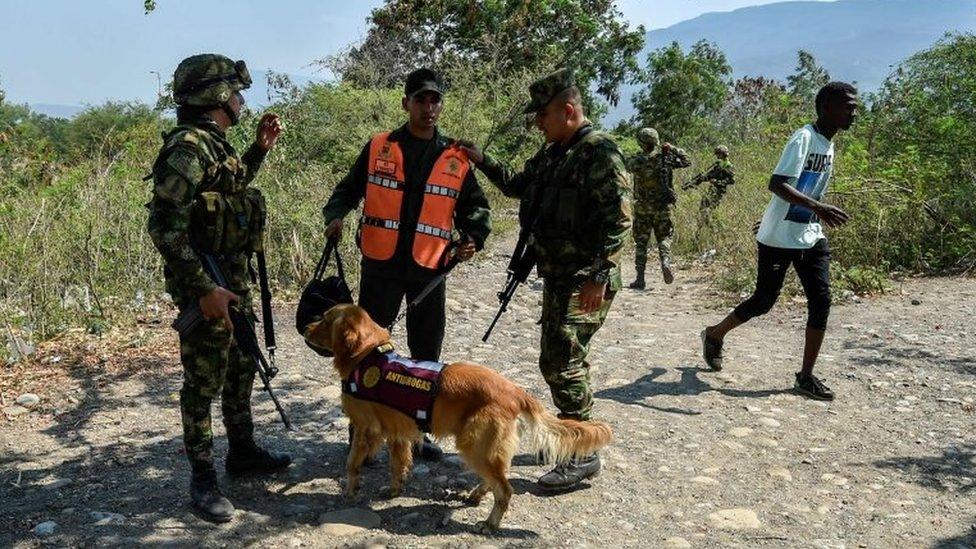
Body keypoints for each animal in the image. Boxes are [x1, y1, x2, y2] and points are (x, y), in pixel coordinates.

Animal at [304, 304, 608, 532]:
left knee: (504, 489)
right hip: (483, 449)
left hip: (474, 446)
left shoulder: (366, 428)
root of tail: (513, 390)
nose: (305, 327)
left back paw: (490, 523)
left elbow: (352, 462)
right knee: (495, 479)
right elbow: (397, 465)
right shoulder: (398, 432)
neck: (368, 355)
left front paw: (349, 491)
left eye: (325, 319)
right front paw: (394, 489)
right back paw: (476, 495)